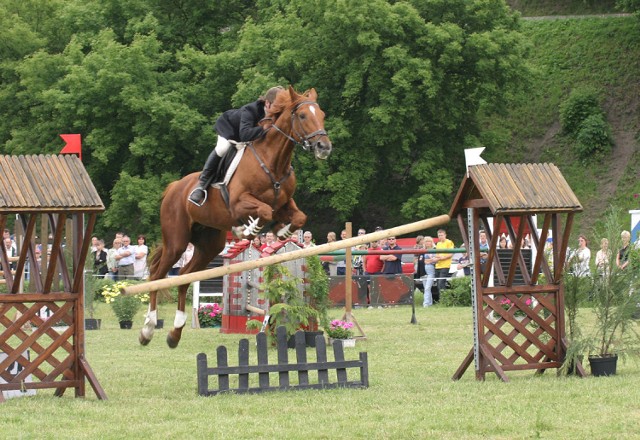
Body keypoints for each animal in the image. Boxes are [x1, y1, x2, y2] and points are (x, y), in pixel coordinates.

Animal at [139, 86, 330, 348]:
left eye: (321, 114)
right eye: (302, 116)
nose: (324, 147)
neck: (273, 160)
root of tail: (174, 187)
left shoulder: (284, 204)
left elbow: (299, 216)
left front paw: (282, 232)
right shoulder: (239, 203)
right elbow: (263, 211)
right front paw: (246, 230)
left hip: (209, 245)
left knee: (185, 276)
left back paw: (175, 333)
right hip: (176, 242)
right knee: (158, 276)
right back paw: (147, 329)